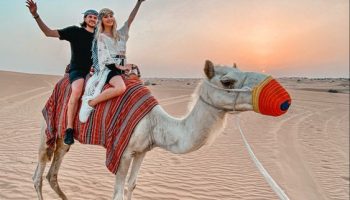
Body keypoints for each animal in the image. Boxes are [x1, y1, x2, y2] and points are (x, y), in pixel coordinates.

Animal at [32, 59, 290, 200]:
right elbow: (117, 193)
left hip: (64, 139)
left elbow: (131, 186)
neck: (155, 123)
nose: (284, 101)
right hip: (49, 126)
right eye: (227, 82)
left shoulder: (142, 151)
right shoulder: (122, 152)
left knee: (53, 173)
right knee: (38, 173)